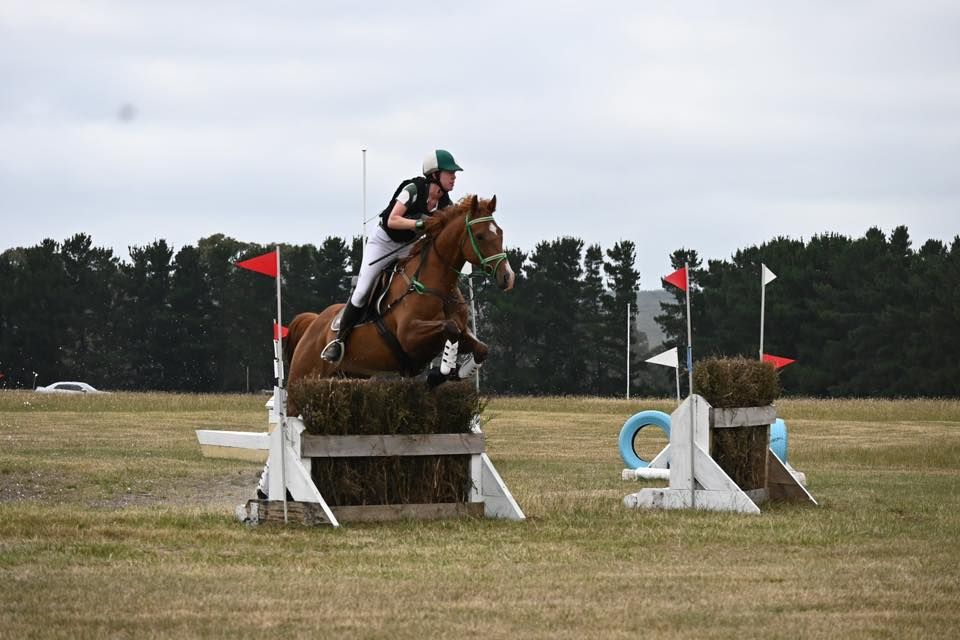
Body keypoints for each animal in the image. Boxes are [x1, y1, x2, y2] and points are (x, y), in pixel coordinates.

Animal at [284, 195, 512, 416]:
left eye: (500, 233)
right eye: (480, 236)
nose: (508, 277)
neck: (439, 287)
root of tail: (314, 322)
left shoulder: (463, 333)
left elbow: (481, 348)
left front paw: (454, 372)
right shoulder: (409, 336)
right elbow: (450, 328)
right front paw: (443, 369)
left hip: (347, 376)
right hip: (301, 379)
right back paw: (332, 349)